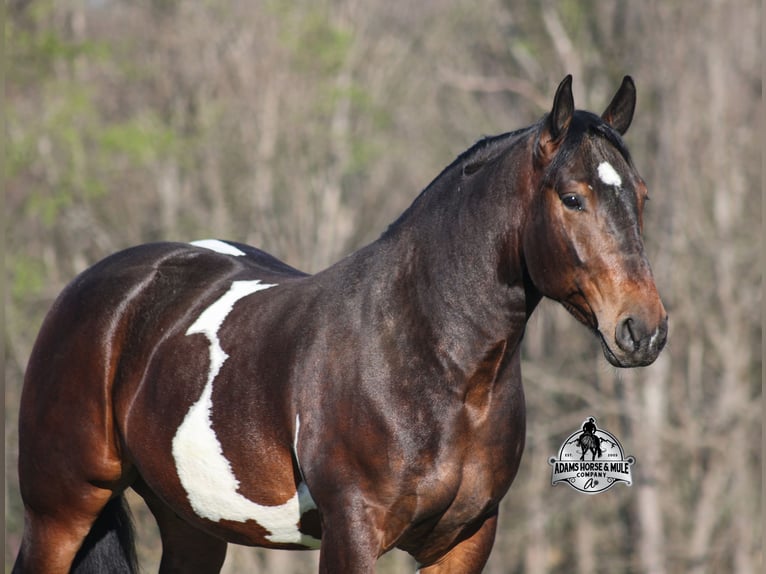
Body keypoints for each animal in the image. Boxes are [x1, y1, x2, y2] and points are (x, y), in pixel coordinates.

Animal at [14, 75, 667, 573]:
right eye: (572, 197)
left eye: (641, 196)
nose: (644, 329)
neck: (431, 359)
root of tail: (105, 285)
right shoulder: (353, 531)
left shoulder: (466, 539)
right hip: (61, 510)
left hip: (192, 523)